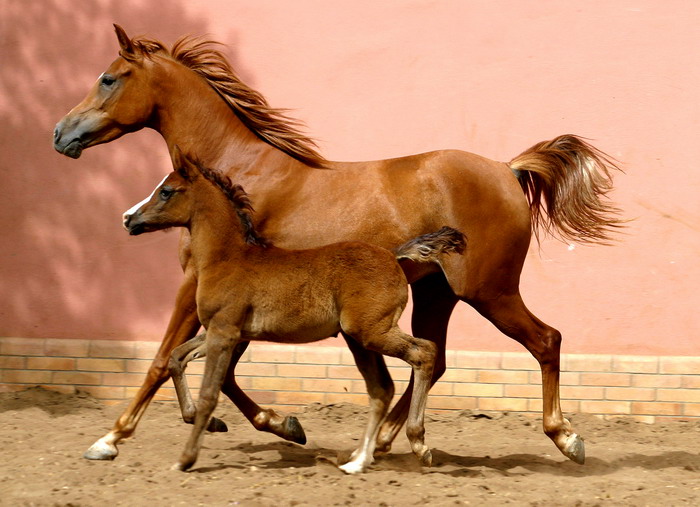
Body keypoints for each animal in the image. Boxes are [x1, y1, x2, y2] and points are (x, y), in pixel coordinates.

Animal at [56, 25, 624, 466]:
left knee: (544, 340)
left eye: (108, 77)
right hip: (437, 293)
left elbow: (164, 358)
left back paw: (565, 438)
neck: (240, 174)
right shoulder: (238, 304)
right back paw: (390, 441)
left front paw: (110, 438)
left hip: (491, 291)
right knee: (433, 358)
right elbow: (222, 367)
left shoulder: (198, 286)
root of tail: (508, 169)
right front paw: (277, 423)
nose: (61, 134)